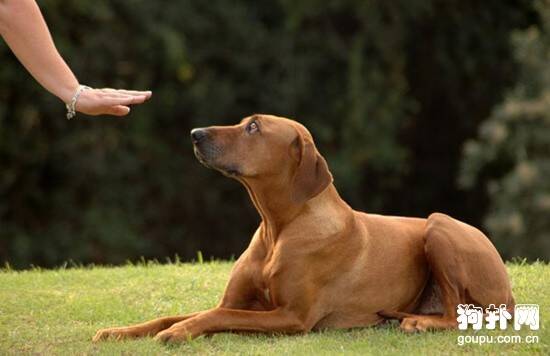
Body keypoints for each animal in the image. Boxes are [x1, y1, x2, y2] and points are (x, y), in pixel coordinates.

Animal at [94, 114, 512, 342]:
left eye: (253, 127)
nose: (195, 133)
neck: (277, 228)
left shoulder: (291, 316)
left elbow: (214, 317)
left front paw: (178, 334)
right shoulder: (236, 301)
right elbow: (177, 315)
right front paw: (119, 332)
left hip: (439, 224)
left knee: (456, 315)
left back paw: (418, 324)